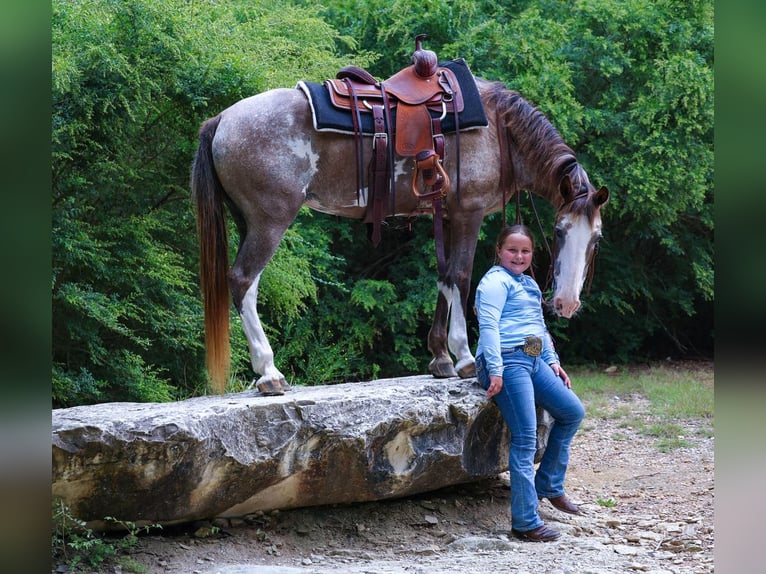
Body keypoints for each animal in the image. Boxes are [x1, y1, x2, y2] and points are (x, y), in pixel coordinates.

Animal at [192, 77, 609, 395]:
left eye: (597, 239)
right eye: (559, 230)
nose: (567, 304)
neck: (498, 129)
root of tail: (222, 119)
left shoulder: (446, 216)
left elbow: (444, 279)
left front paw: (440, 357)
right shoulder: (468, 213)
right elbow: (461, 277)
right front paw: (465, 357)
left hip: (248, 221)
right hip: (270, 222)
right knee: (244, 281)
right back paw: (269, 373)